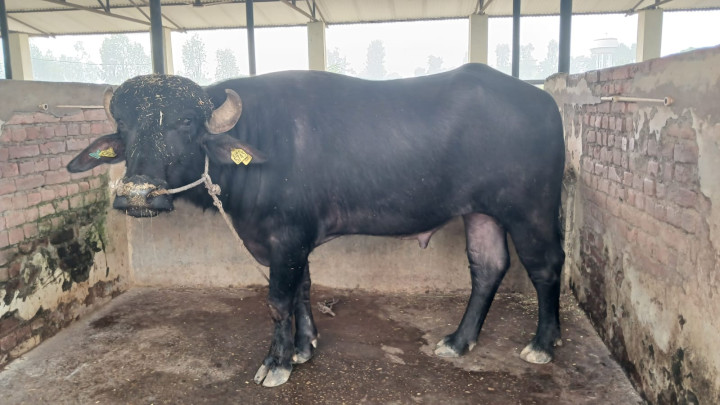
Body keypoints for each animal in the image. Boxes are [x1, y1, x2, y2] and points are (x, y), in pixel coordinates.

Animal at [67, 64, 566, 387]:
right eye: (124, 127)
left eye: (186, 123)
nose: (137, 194)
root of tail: (543, 101)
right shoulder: (293, 241)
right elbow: (303, 289)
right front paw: (304, 347)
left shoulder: (286, 238)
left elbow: (277, 300)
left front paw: (277, 362)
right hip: (481, 211)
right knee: (487, 266)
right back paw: (459, 341)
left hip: (531, 209)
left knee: (546, 265)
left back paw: (543, 343)